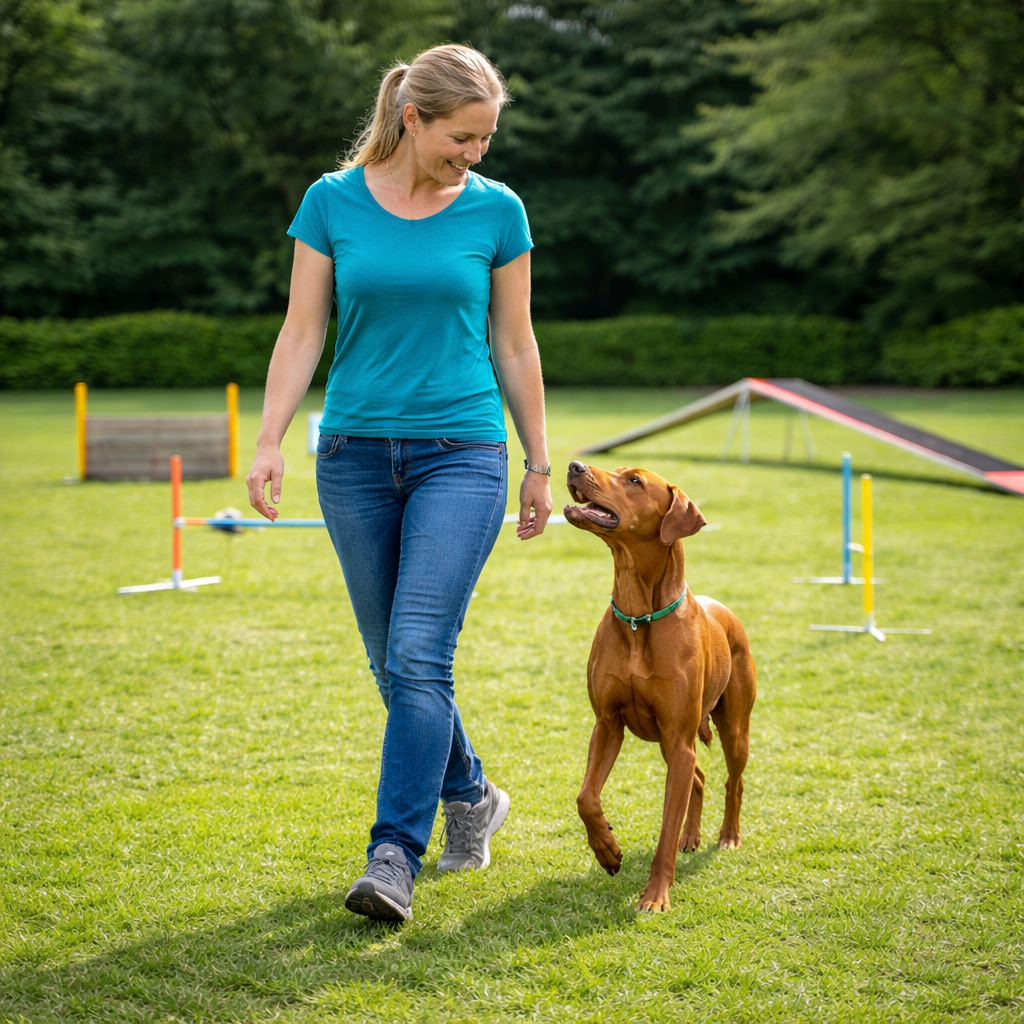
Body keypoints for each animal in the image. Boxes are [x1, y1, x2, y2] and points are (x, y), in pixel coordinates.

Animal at [564, 461, 756, 912]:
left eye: (634, 480)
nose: (575, 466)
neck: (639, 618)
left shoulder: (678, 737)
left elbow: (665, 832)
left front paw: (655, 896)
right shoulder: (608, 724)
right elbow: (586, 798)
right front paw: (607, 850)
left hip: (731, 729)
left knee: (732, 781)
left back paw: (728, 836)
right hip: (673, 744)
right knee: (699, 779)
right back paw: (692, 836)